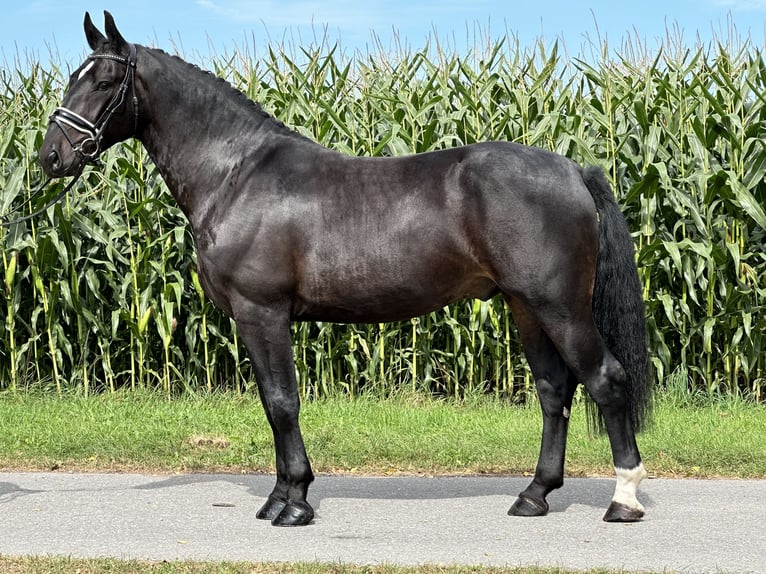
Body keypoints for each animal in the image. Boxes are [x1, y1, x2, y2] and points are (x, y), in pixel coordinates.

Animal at [39, 11, 652, 528]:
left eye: (102, 82)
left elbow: (282, 402)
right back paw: (534, 495)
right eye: (72, 77)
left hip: (560, 305)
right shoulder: (253, 319)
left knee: (606, 379)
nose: (51, 157)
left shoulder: (262, 313)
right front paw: (279, 498)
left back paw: (623, 500)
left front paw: (295, 504)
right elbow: (272, 405)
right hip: (525, 306)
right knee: (554, 390)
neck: (236, 173)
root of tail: (574, 170)